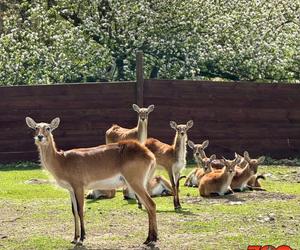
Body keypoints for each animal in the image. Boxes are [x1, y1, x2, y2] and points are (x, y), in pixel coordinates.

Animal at [25, 117, 158, 246]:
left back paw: (152, 240)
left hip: (135, 182)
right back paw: (149, 240)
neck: (62, 160)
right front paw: (74, 238)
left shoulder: (79, 187)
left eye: (48, 128)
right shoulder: (71, 190)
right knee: (148, 207)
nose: (40, 137)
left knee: (151, 204)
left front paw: (82, 238)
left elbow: (80, 210)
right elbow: (74, 211)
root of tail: (148, 154)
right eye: (36, 127)